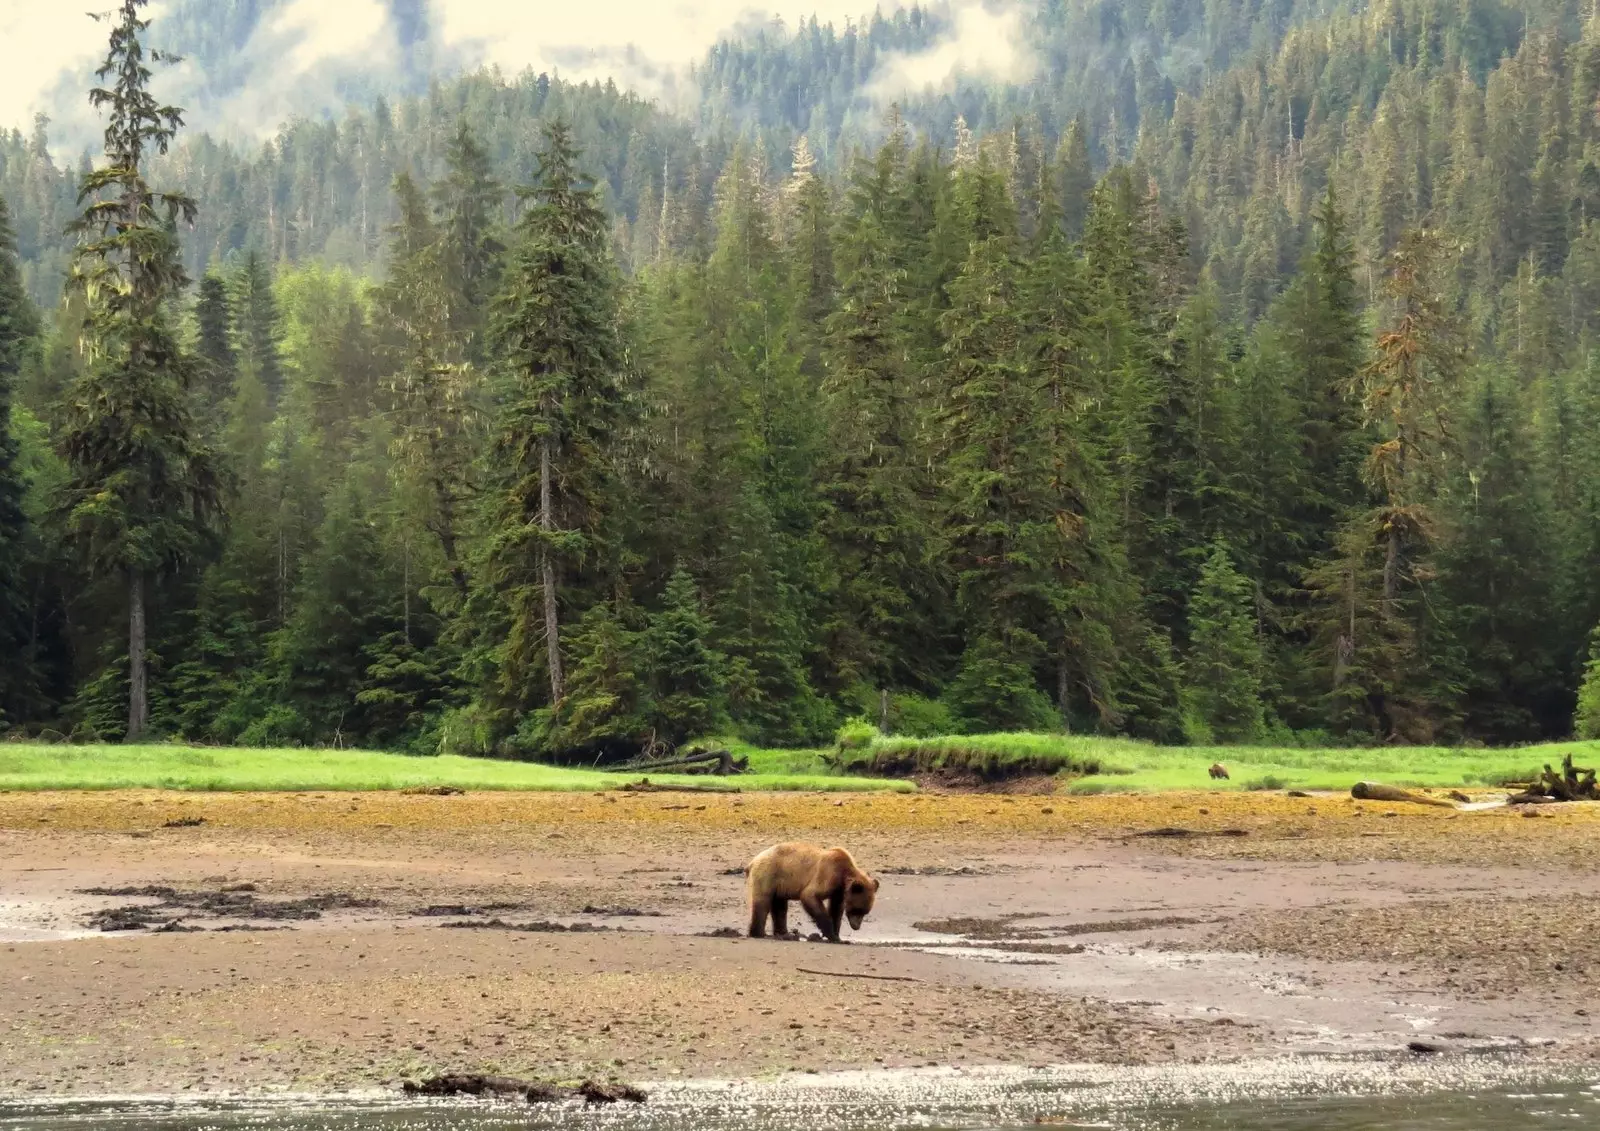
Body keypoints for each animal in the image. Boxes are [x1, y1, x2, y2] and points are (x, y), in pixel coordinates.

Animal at [745, 844, 883, 940]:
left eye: (865, 912)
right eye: (856, 910)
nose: (856, 926)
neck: (843, 875)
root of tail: (753, 861)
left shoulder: (838, 891)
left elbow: (836, 909)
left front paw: (837, 935)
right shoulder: (827, 875)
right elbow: (810, 896)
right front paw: (831, 934)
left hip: (780, 885)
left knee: (780, 906)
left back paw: (784, 934)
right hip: (768, 874)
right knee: (762, 903)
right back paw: (758, 933)